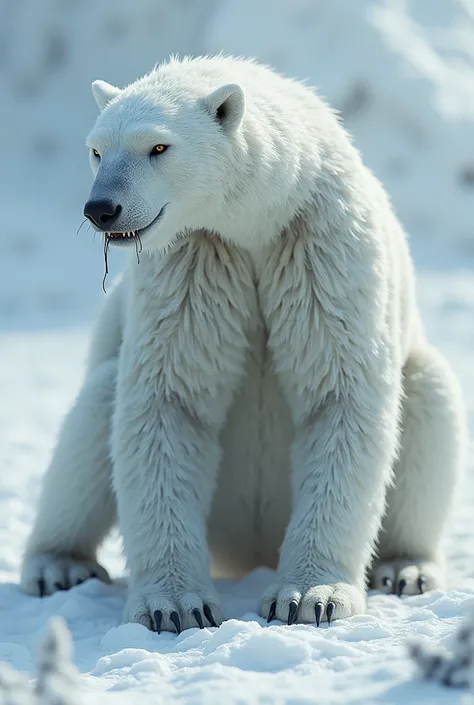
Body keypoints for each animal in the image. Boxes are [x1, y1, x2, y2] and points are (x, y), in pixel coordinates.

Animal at [20, 56, 464, 632]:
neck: (258, 220)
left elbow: (338, 395)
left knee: (430, 396)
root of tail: (252, 551)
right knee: (97, 407)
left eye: (157, 146)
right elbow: (171, 401)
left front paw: (310, 598)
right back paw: (57, 565)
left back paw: (406, 568)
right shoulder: (194, 261)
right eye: (97, 149)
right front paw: (176, 607)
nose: (102, 209)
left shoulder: (319, 247)